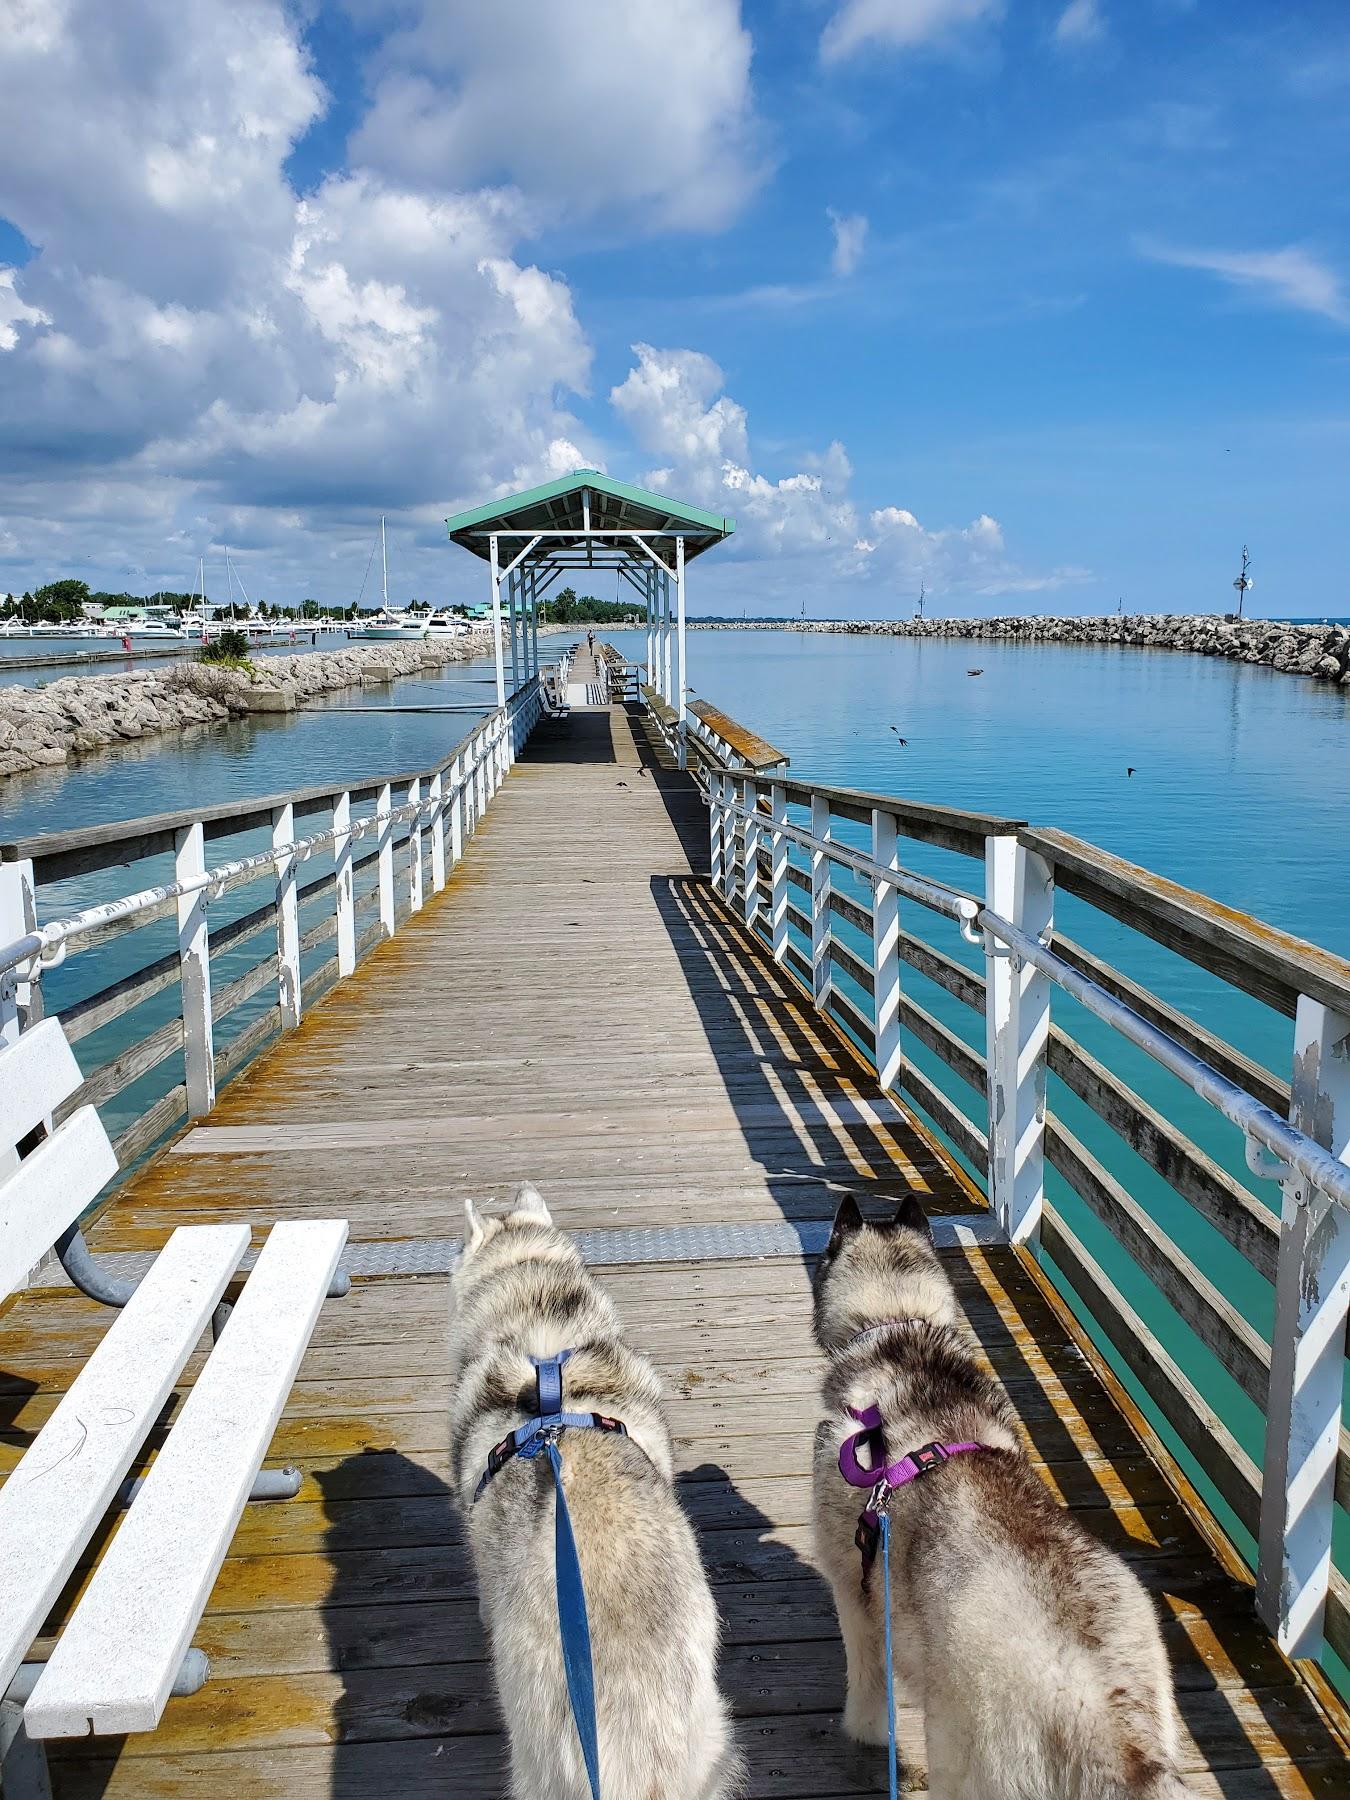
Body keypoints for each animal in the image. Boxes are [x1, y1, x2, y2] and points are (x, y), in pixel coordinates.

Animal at [810, 1188, 1188, 1792]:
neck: (895, 1322)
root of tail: (1119, 1739)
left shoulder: (854, 1587)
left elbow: (868, 1680)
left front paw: (867, 1733)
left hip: (961, 1756)